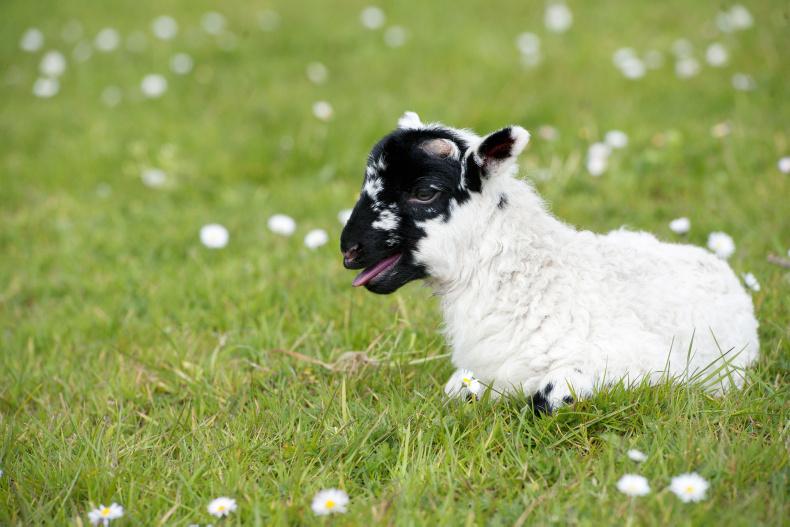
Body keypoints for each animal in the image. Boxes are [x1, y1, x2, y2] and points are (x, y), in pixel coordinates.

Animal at [340, 112, 759, 412]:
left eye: (424, 192)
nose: (349, 250)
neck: (533, 282)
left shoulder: (640, 365)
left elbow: (545, 399)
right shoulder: (473, 375)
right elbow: (459, 391)